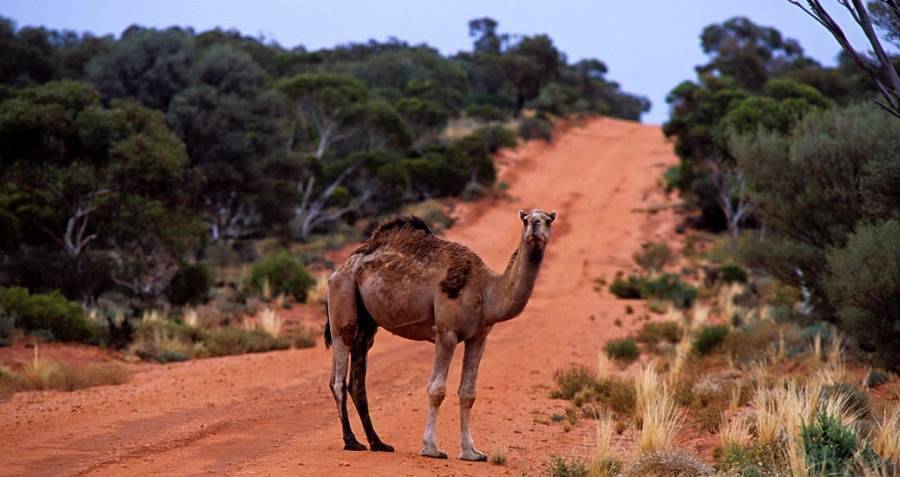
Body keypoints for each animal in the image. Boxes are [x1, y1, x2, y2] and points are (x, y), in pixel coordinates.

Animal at [324, 209, 556, 462]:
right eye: (525, 219)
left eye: (548, 219)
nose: (535, 224)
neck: (486, 290)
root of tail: (340, 268)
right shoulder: (446, 332)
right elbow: (437, 389)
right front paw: (431, 448)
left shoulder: (479, 336)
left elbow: (468, 393)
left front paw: (471, 452)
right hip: (343, 300)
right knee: (338, 376)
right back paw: (351, 441)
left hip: (367, 325)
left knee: (357, 381)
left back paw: (378, 443)